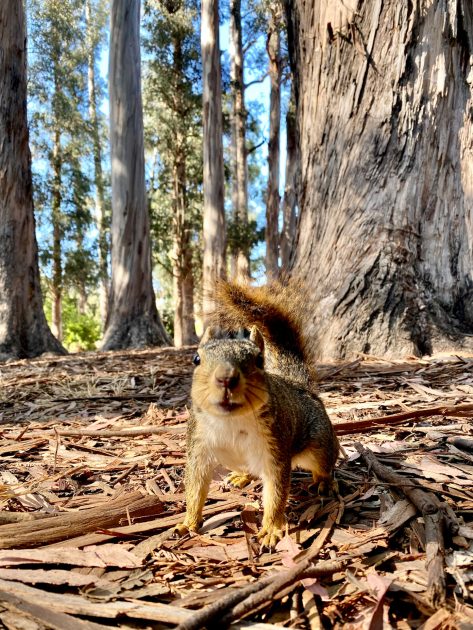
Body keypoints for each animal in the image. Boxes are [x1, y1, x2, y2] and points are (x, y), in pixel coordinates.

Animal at [175, 282, 338, 548]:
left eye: (259, 360)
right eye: (196, 359)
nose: (226, 378)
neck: (230, 421)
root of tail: (299, 385)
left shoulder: (275, 451)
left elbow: (276, 494)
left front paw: (270, 529)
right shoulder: (197, 449)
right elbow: (195, 489)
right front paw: (188, 523)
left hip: (319, 444)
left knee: (324, 464)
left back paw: (324, 482)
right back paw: (241, 477)